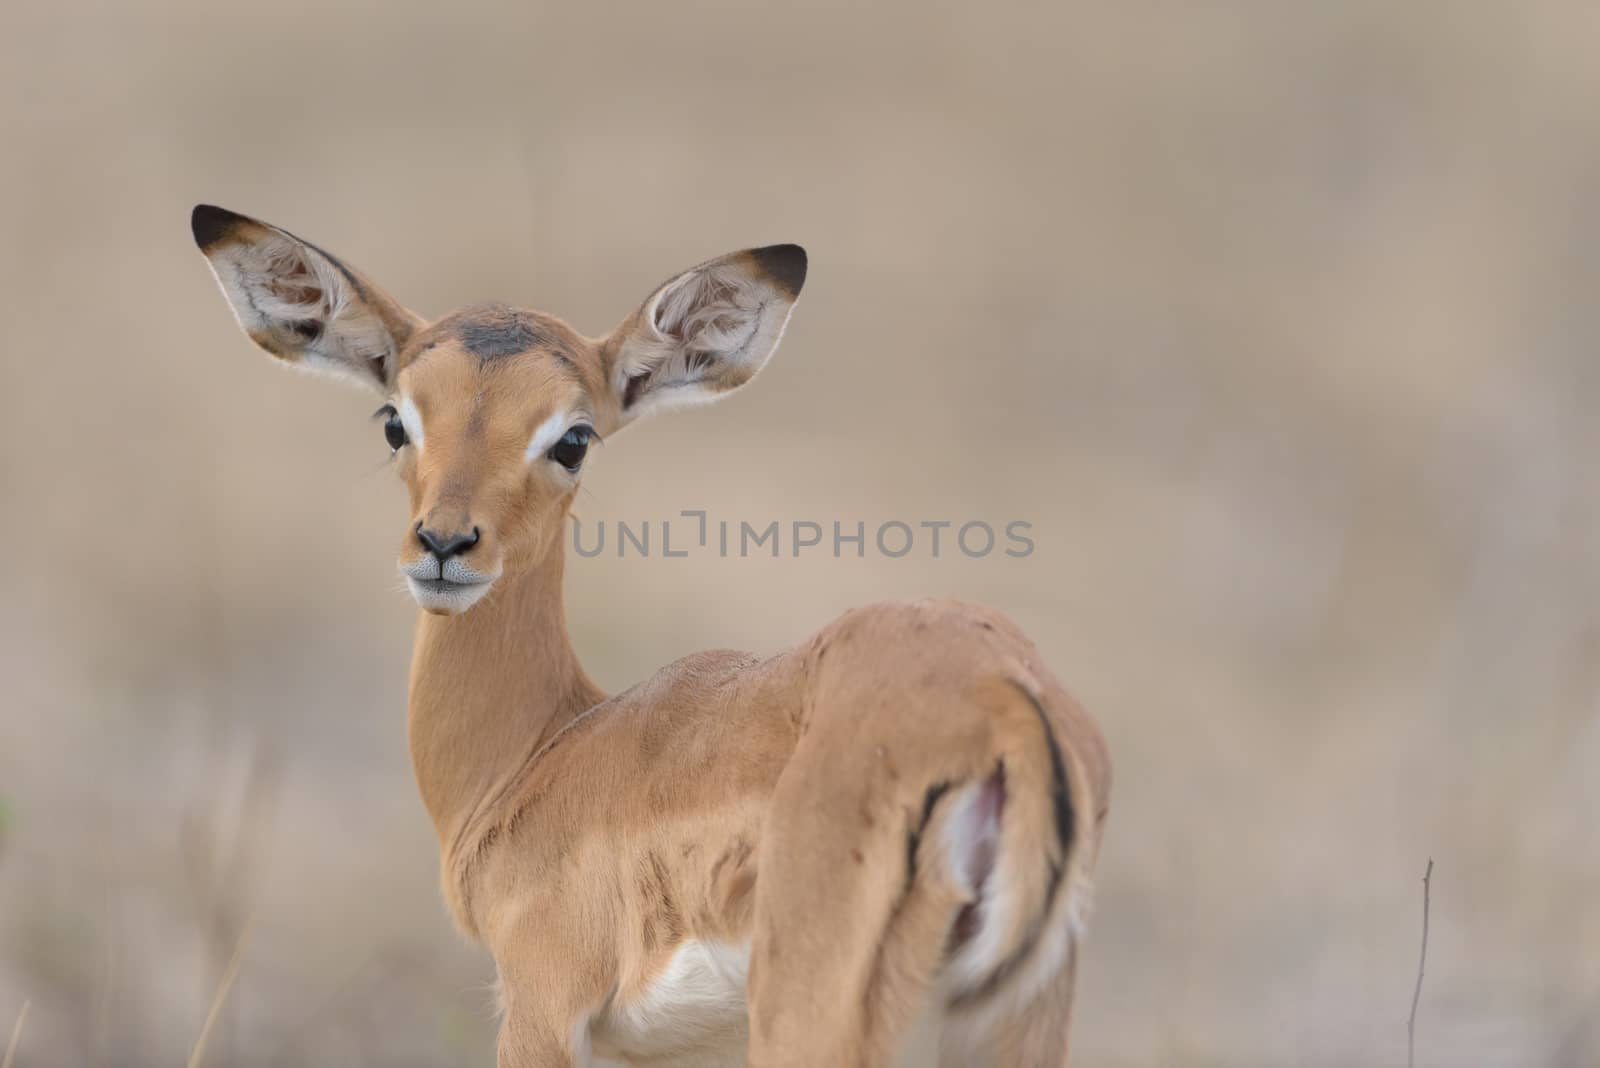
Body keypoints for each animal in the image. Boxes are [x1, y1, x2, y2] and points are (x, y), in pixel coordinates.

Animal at [190, 204, 1113, 1061]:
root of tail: (1002, 699)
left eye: (572, 437)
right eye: (395, 420)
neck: (546, 750)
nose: (445, 545)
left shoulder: (541, 1013)